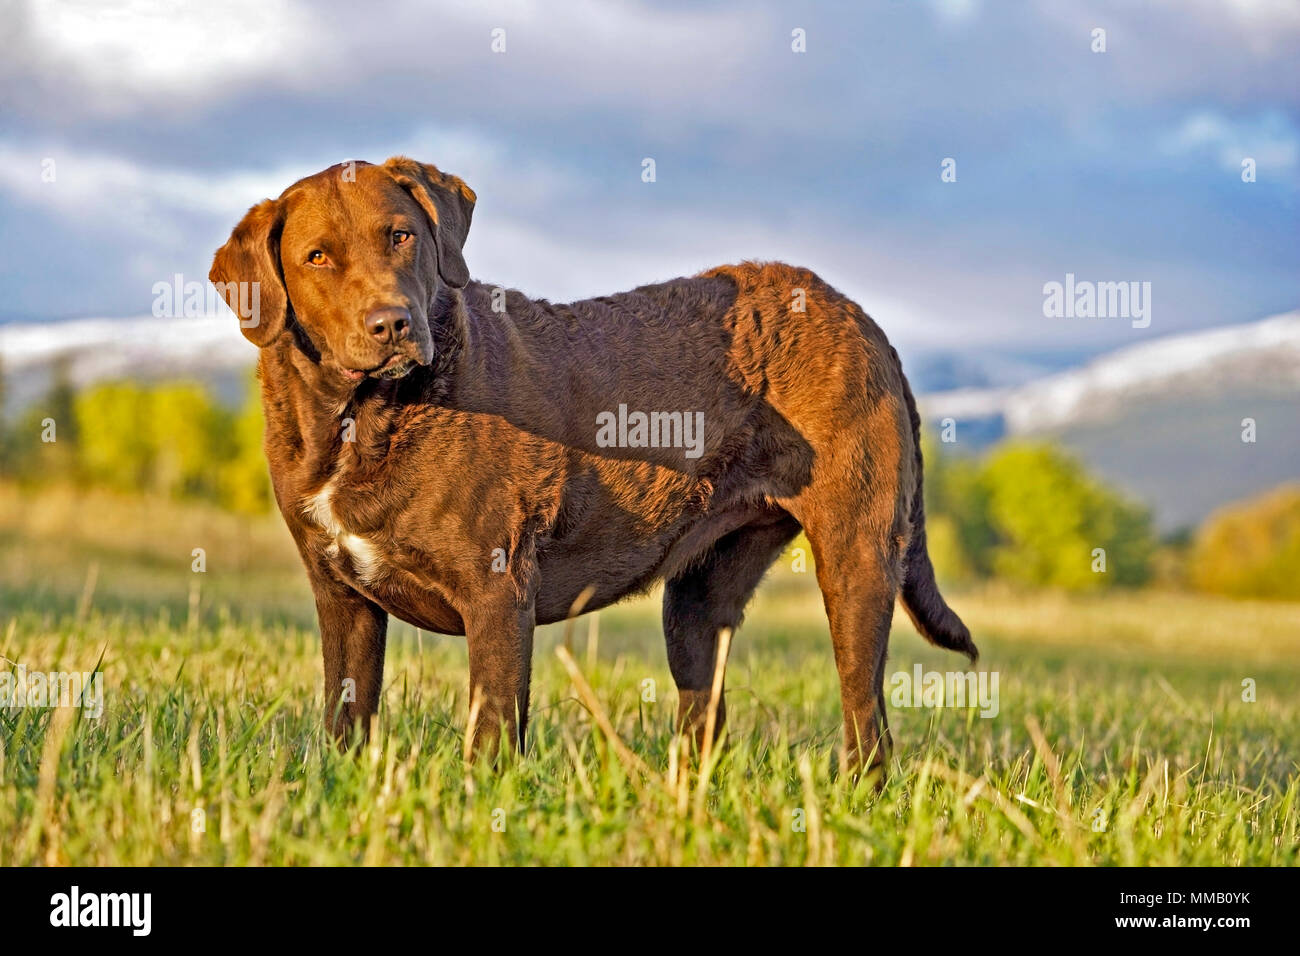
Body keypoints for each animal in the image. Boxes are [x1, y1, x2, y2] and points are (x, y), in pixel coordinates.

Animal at [208, 153, 972, 775]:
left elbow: (490, 733)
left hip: (857, 556)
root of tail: (860, 317)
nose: (392, 323)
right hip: (697, 601)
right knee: (705, 717)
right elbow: (346, 715)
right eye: (316, 257)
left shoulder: (498, 591)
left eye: (402, 236)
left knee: (867, 721)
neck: (365, 418)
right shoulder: (342, 598)